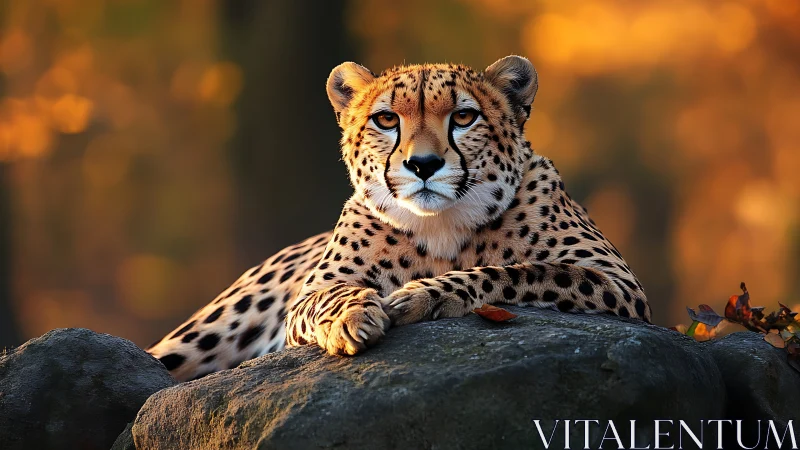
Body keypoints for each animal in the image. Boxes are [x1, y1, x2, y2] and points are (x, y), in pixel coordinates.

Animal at [147, 56, 651, 382]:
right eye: (387, 120)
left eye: (463, 117)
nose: (423, 164)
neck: (442, 224)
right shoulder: (305, 299)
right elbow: (329, 296)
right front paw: (352, 316)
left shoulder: (618, 285)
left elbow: (520, 271)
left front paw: (424, 295)